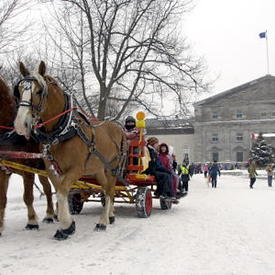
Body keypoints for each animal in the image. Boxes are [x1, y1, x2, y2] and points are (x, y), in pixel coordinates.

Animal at [0, 75, 55, 237]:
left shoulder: (28, 170)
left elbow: (28, 197)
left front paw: (31, 221)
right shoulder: (3, 171)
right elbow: (2, 199)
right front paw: (0, 227)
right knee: (48, 188)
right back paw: (50, 214)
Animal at [14, 62, 127, 242]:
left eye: (38, 91)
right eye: (18, 90)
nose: (20, 124)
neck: (63, 130)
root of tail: (119, 128)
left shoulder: (76, 169)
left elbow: (61, 193)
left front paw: (66, 226)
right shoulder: (53, 169)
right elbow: (61, 191)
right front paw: (67, 224)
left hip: (113, 167)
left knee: (110, 190)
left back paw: (103, 221)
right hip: (99, 169)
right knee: (106, 189)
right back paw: (110, 216)